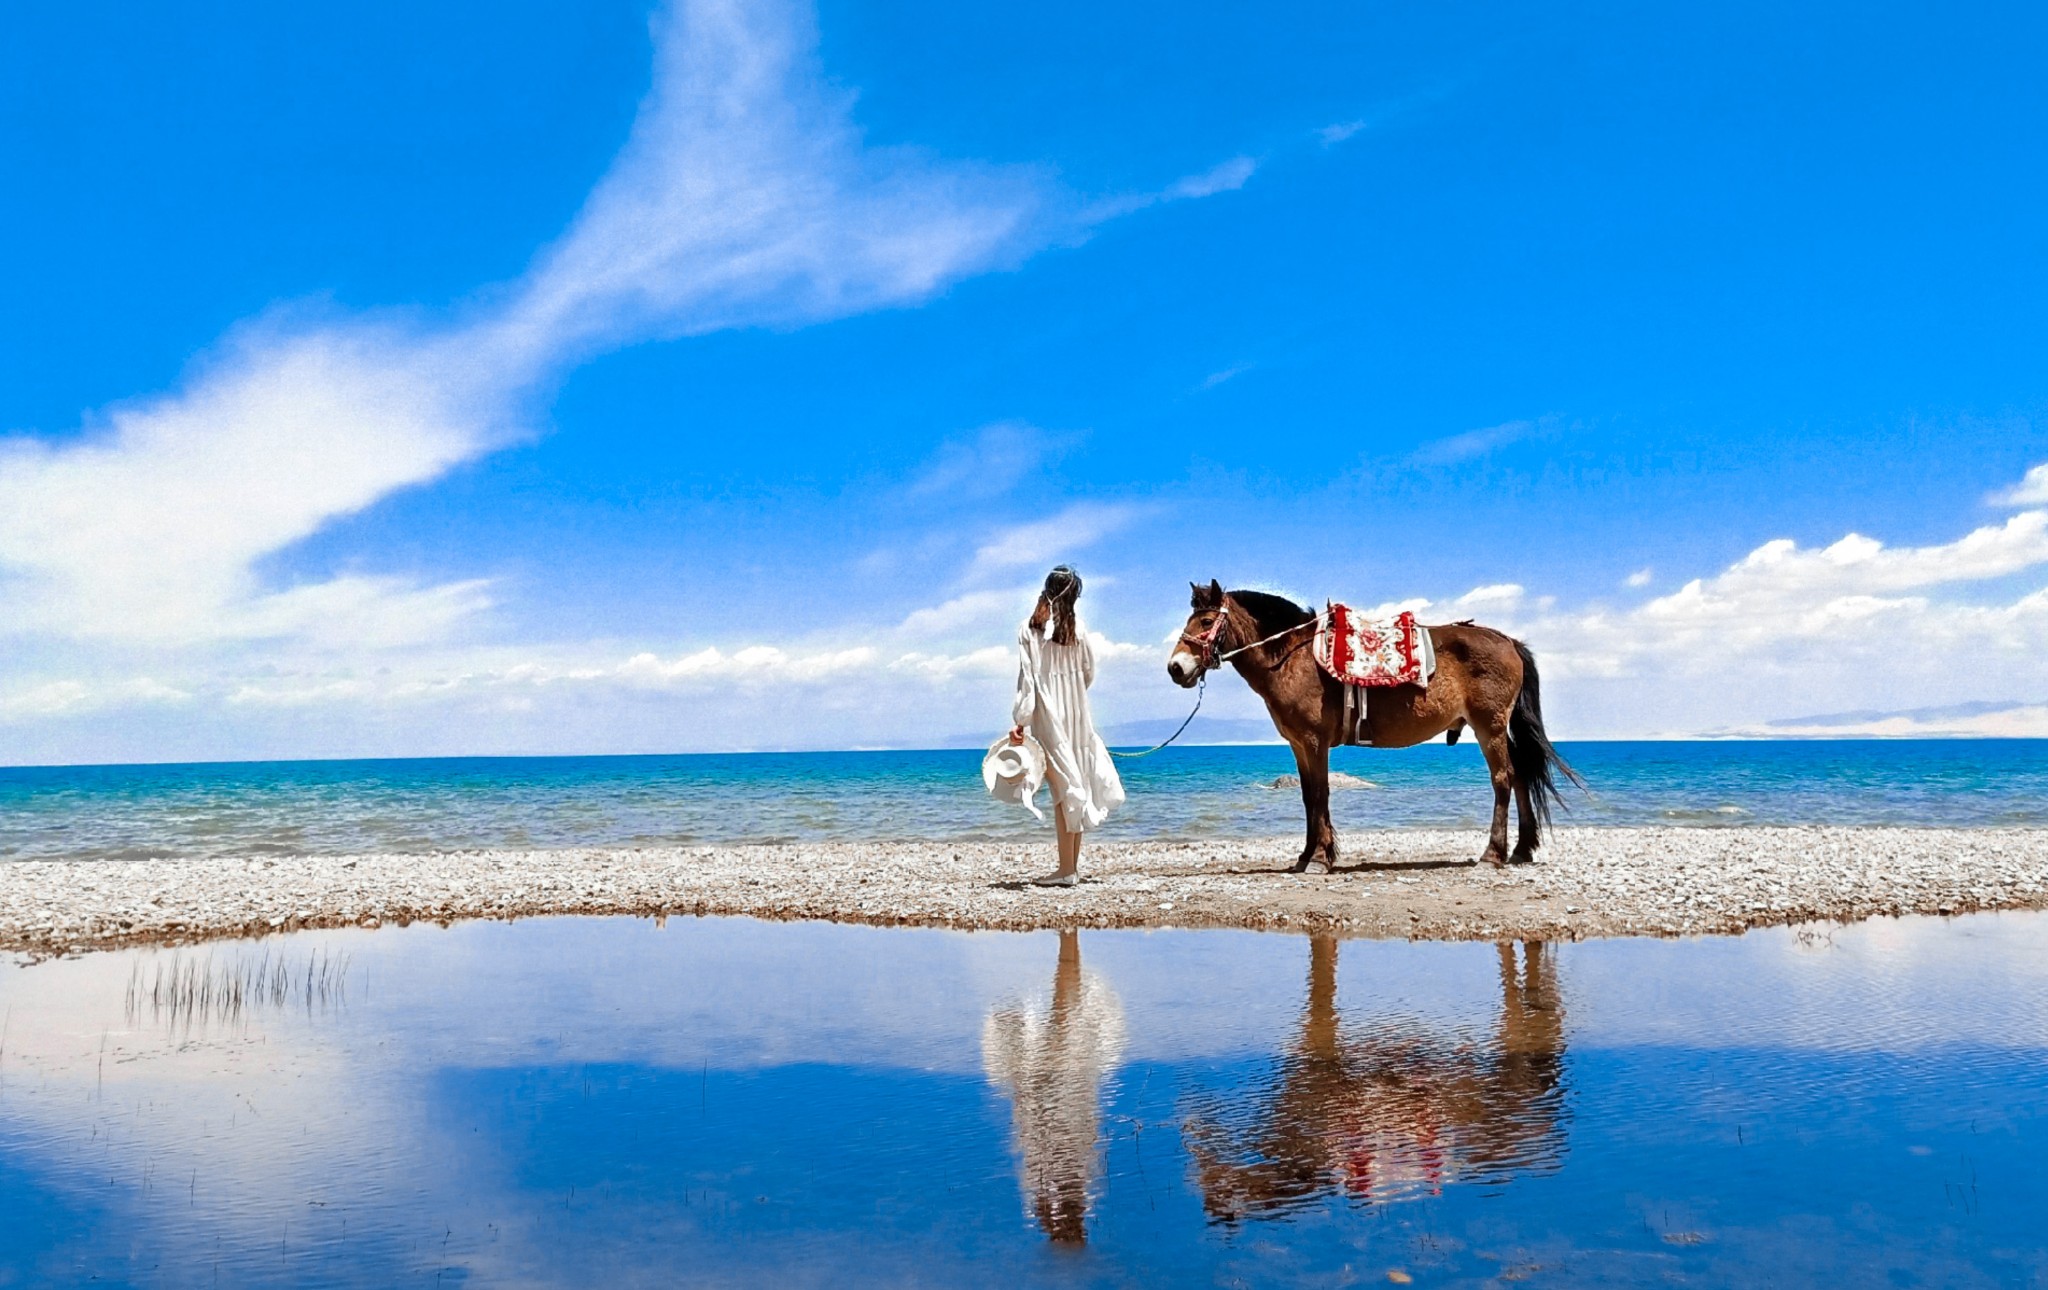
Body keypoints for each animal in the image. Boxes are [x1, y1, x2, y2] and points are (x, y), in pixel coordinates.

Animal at [1171, 585, 1581, 868]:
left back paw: (1493, 854)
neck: (1292, 658)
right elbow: (1307, 796)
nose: (1176, 667)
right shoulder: (1299, 745)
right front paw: (1307, 855)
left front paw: (1319, 858)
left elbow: (1320, 794)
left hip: (1489, 727)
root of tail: (1508, 641)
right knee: (1522, 775)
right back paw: (1522, 849)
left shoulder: (1314, 742)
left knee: (1503, 779)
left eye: (1205, 622)